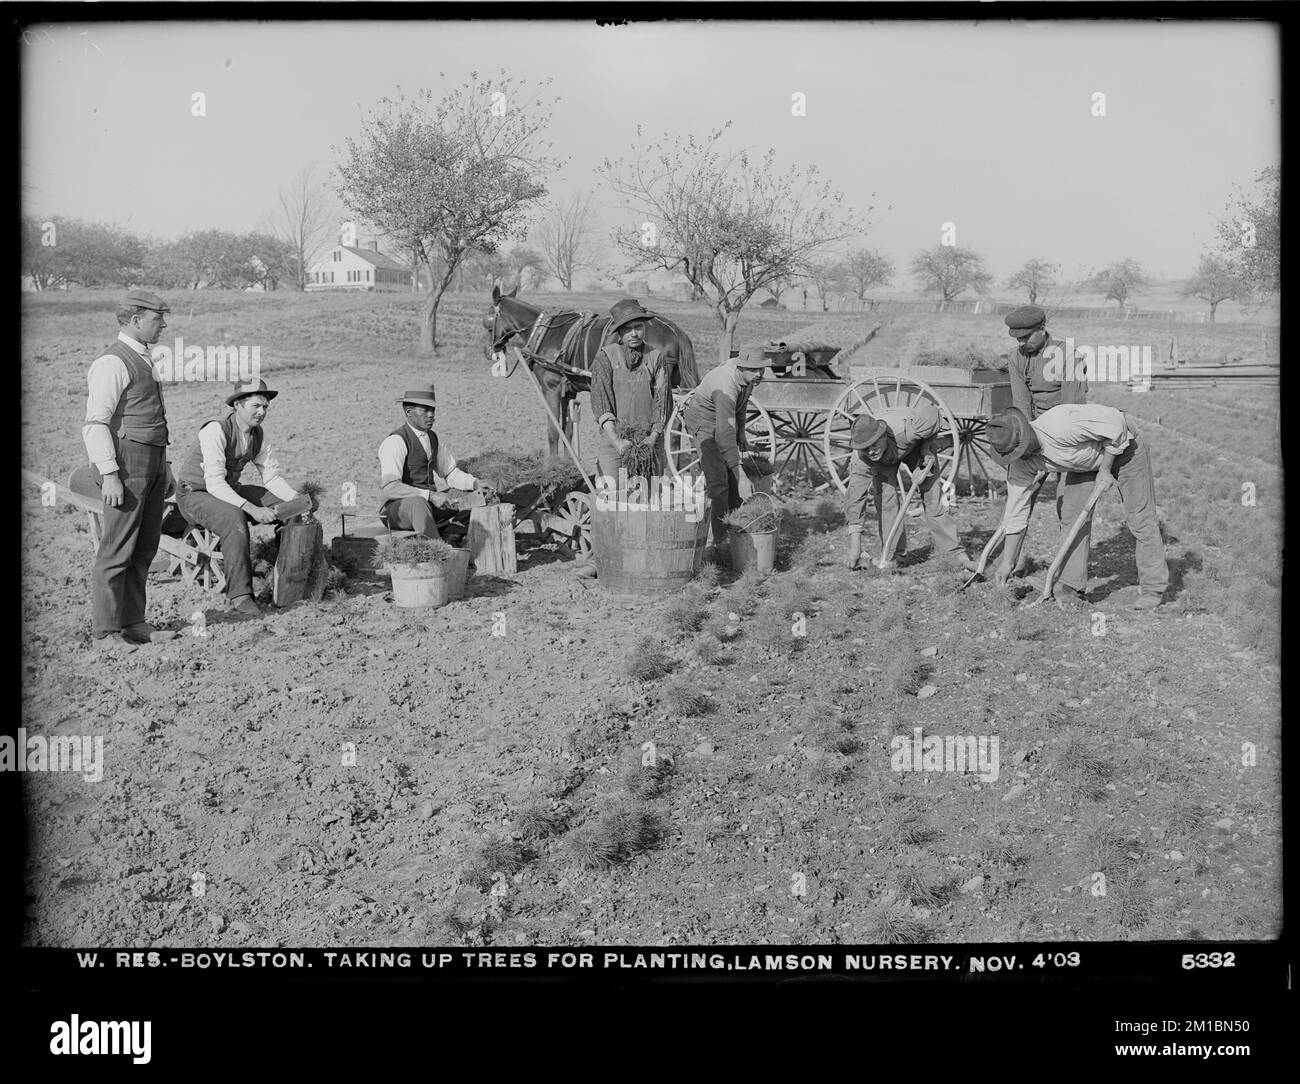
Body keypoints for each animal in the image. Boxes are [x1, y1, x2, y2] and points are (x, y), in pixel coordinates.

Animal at [480, 284, 702, 457]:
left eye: (487, 321)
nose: (487, 350)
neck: (543, 333)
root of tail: (674, 330)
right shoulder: (568, 391)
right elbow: (567, 430)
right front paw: (568, 465)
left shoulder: (551, 388)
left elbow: (553, 432)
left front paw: (552, 466)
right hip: (677, 388)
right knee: (681, 431)